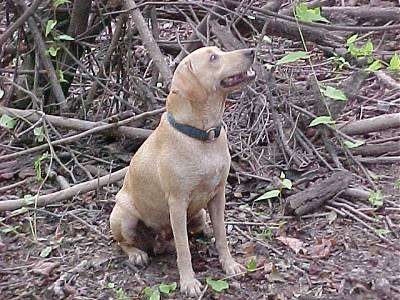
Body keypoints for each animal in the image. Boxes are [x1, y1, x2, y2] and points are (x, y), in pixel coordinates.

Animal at [109, 45, 255, 296]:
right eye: (213, 58)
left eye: (219, 51)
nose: (251, 51)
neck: (202, 136)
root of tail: (157, 242)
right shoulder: (177, 203)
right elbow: (184, 249)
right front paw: (189, 283)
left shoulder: (218, 195)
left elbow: (222, 236)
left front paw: (229, 265)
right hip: (124, 217)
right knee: (124, 243)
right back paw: (137, 254)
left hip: (200, 213)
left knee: (195, 230)